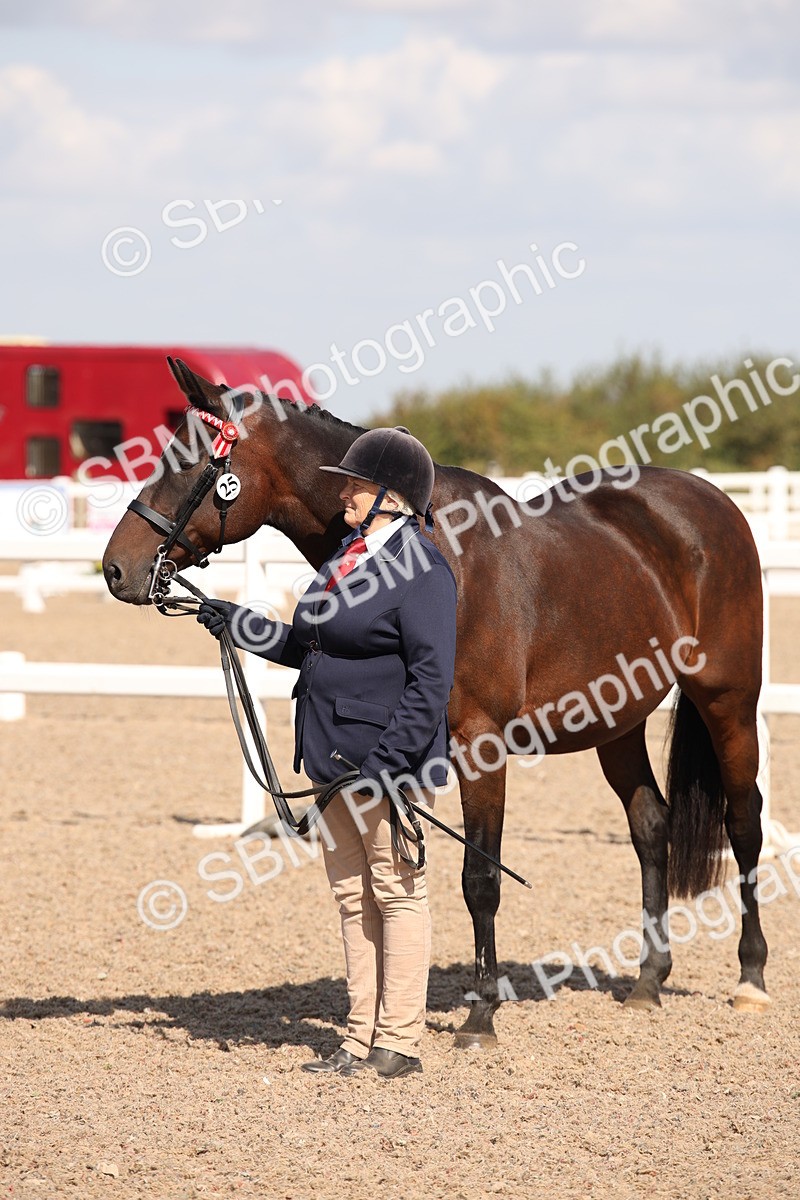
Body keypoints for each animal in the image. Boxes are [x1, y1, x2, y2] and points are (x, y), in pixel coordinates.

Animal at [102, 359, 770, 1046]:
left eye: (187, 461)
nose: (117, 569)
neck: (442, 556)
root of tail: (710, 501)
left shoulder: (482, 745)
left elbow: (480, 877)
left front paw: (480, 1015)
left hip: (728, 699)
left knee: (743, 822)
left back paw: (750, 979)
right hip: (617, 721)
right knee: (651, 826)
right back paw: (647, 981)